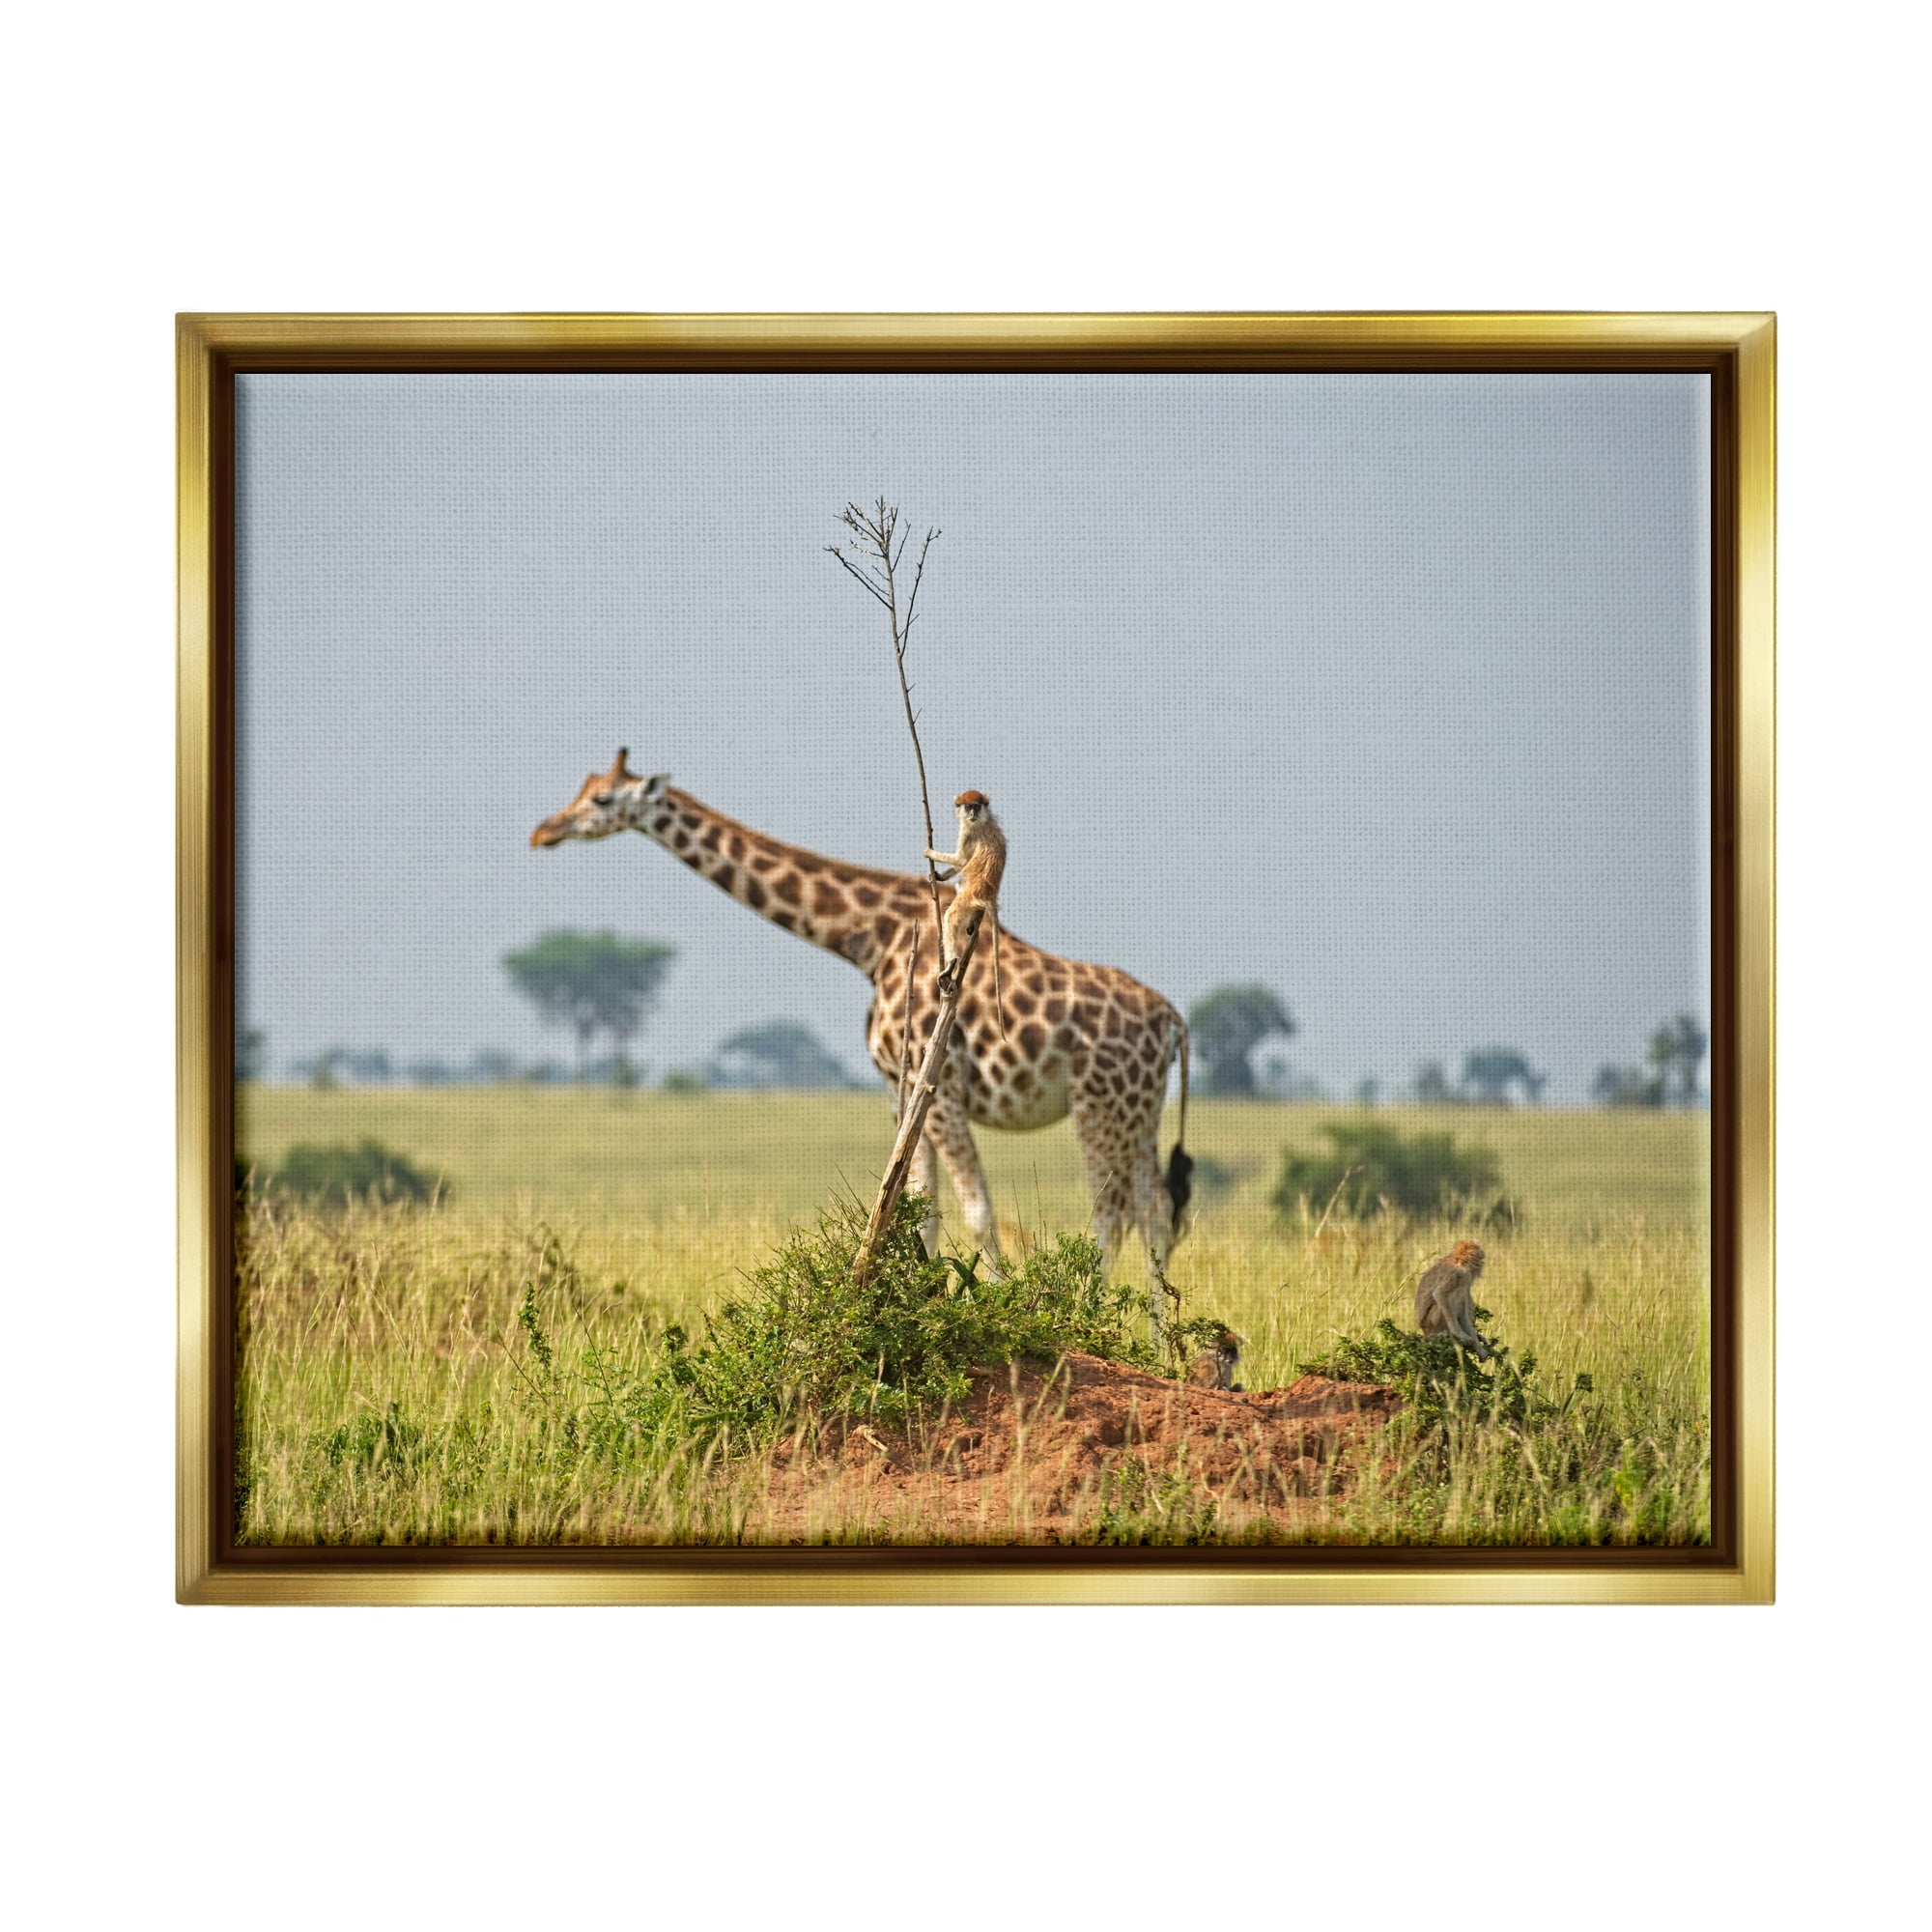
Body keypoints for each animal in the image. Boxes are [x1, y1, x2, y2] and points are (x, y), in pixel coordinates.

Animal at [925, 788, 1008, 1034]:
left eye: (976, 806)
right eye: (969, 806)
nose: (971, 813)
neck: (983, 819)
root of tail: (987, 895)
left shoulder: (969, 834)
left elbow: (962, 860)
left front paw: (930, 853)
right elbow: (961, 864)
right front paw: (938, 876)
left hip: (968, 897)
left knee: (951, 916)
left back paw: (951, 963)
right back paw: (973, 923)